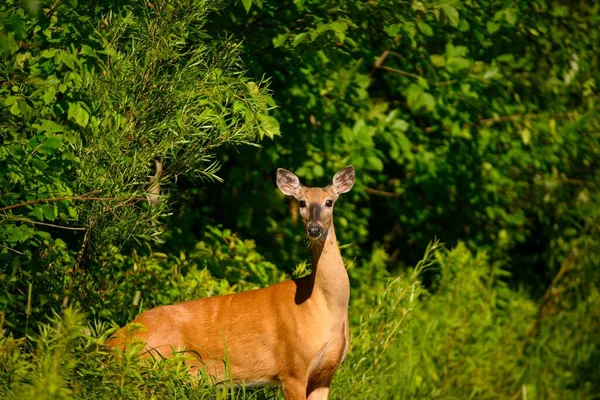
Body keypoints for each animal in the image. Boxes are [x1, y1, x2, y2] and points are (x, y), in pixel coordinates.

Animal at [107, 164, 354, 398]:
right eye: (302, 202)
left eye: (329, 202)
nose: (314, 229)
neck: (322, 305)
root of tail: (114, 341)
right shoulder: (293, 367)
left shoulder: (324, 375)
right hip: (151, 363)